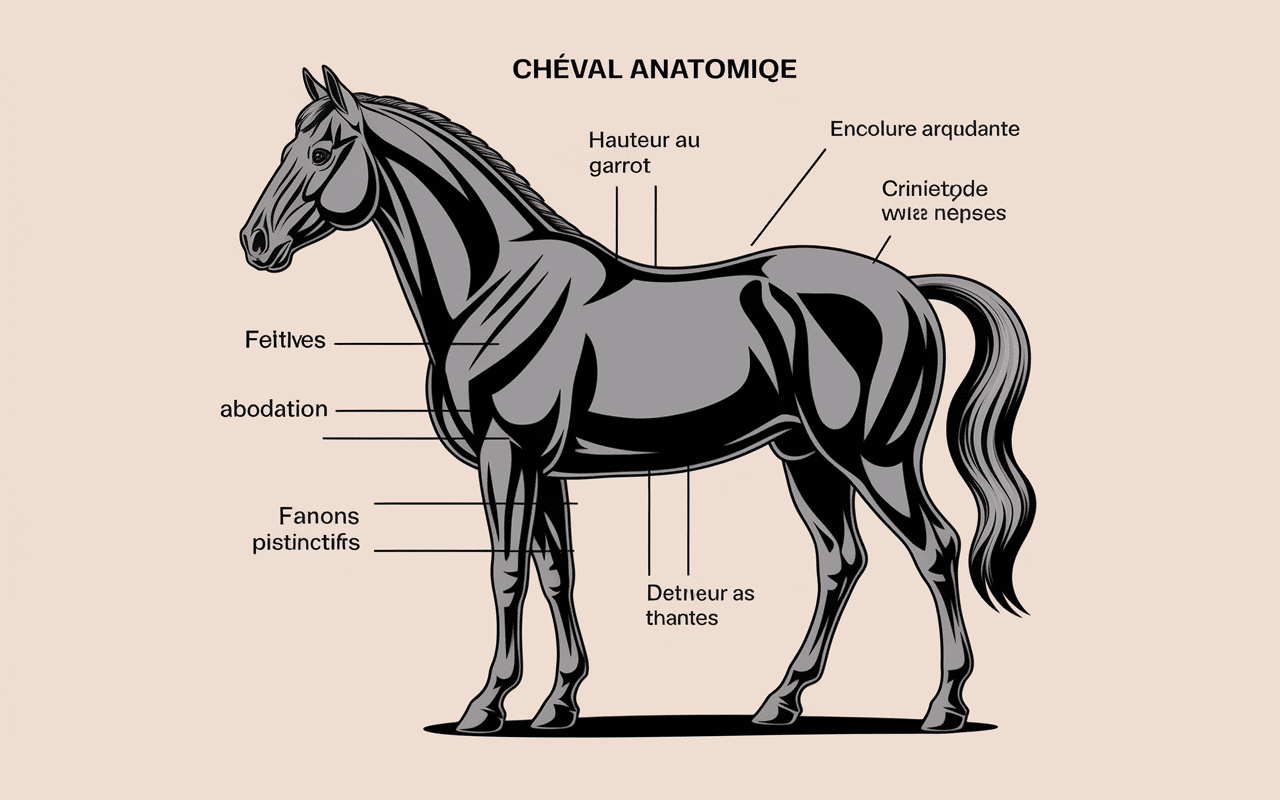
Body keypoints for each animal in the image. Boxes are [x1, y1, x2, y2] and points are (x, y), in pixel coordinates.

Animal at [240, 66, 1036, 734]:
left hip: (874, 456)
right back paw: (780, 701)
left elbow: (505, 572)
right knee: (840, 562)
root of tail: (908, 288)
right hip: (806, 457)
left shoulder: (507, 456)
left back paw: (943, 706)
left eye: (323, 152)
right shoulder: (545, 469)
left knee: (935, 548)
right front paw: (558, 704)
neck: (494, 288)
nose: (254, 242)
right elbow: (556, 575)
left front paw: (485, 705)